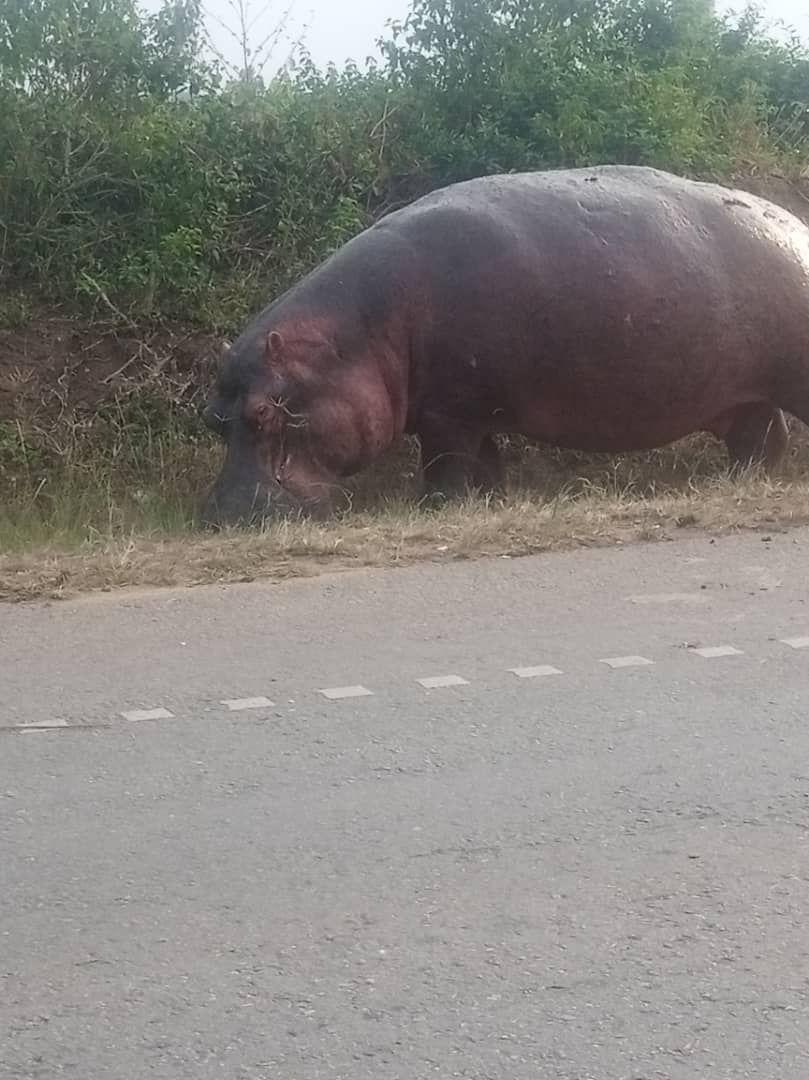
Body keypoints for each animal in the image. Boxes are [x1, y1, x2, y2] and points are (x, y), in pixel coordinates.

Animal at [201, 164, 809, 526]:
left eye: (264, 413)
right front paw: (488, 505)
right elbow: (486, 467)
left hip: (788, 380)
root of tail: (795, 224)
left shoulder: (449, 417)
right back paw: (738, 483)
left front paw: (435, 510)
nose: (222, 517)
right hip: (745, 398)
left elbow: (445, 471)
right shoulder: (472, 412)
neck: (356, 337)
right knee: (761, 441)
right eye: (211, 419)